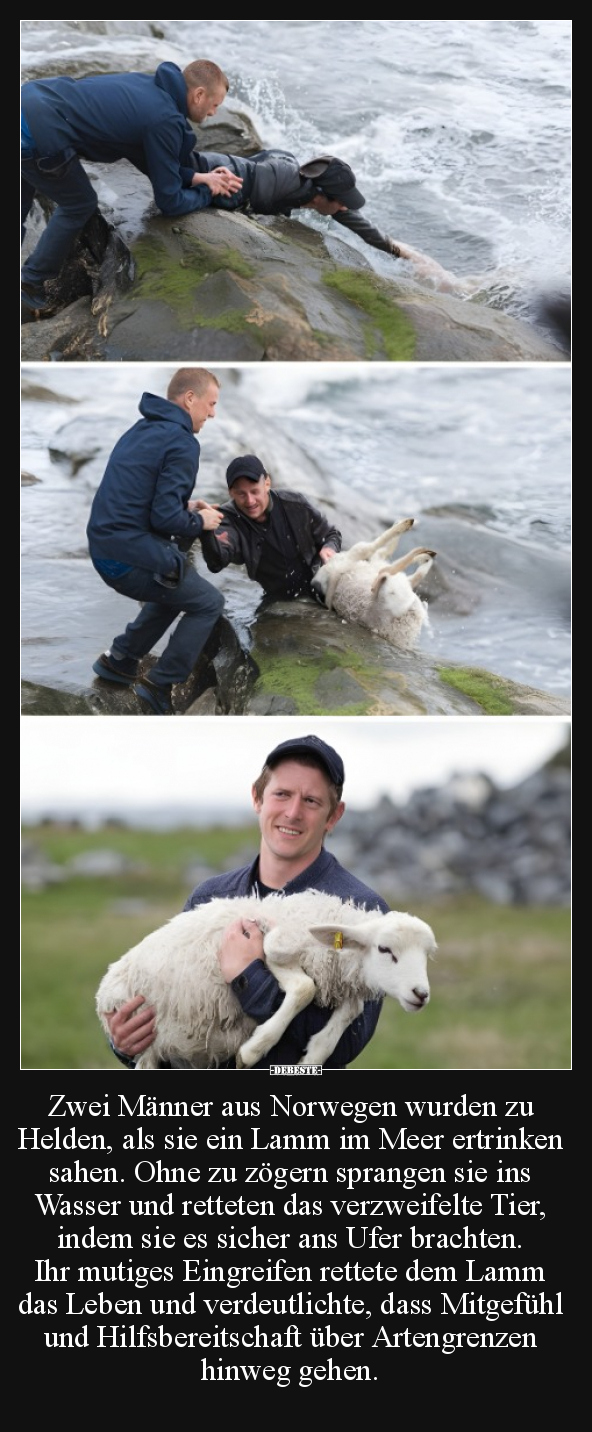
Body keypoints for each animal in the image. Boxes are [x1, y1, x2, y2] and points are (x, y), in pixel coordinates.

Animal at [96, 887, 432, 1071]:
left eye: (427, 955)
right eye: (385, 949)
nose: (421, 994)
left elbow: (352, 1011)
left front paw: (313, 1055)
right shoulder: (272, 948)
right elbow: (304, 988)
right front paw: (254, 1049)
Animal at [311, 518, 435, 652]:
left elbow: (385, 549)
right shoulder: (358, 554)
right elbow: (379, 545)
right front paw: (403, 525)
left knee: (398, 572)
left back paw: (424, 554)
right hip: (391, 590)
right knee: (387, 572)